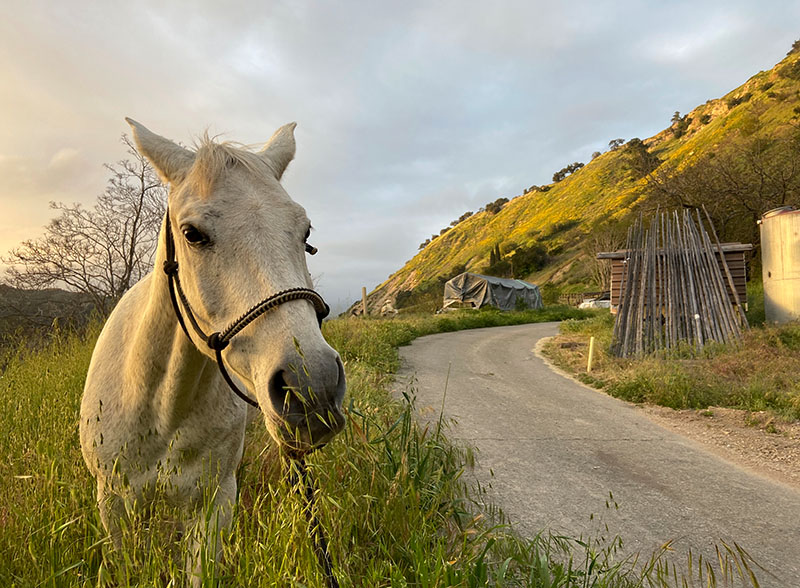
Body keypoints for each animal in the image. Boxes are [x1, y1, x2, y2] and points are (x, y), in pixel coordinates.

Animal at [78, 120, 346, 584]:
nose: (313, 387)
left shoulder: (214, 504)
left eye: (306, 232)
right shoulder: (114, 506)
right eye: (192, 234)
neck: (159, 407)